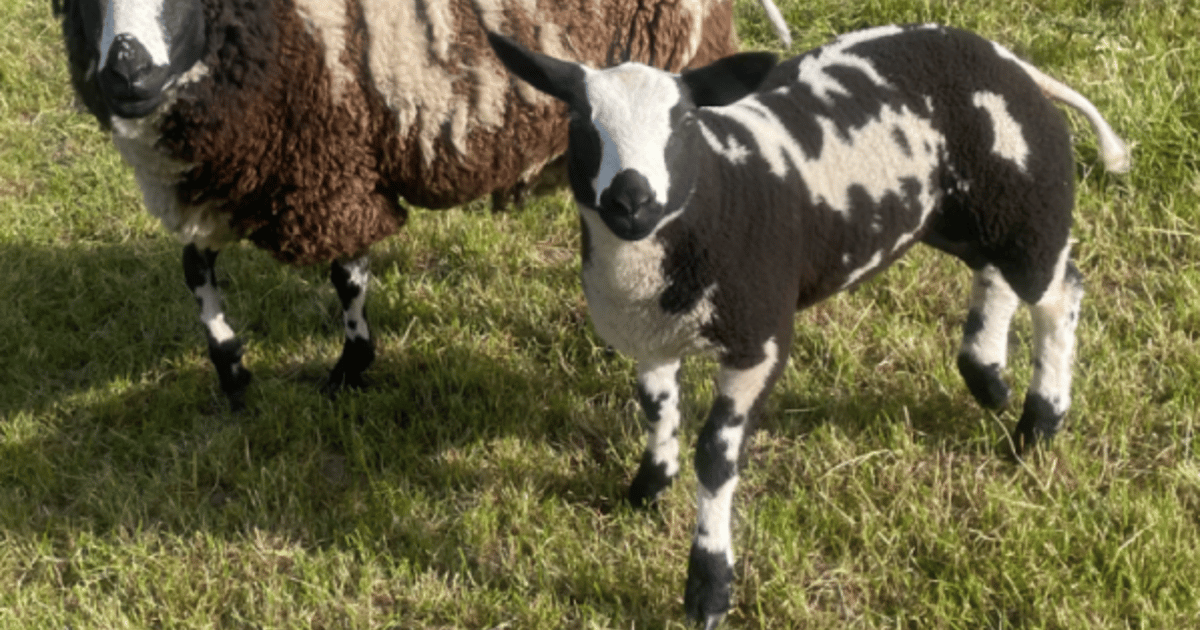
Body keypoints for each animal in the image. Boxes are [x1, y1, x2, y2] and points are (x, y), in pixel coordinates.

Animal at [54, 0, 790, 410]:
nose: (129, 74)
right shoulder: (223, 177)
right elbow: (195, 269)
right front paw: (232, 371)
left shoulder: (336, 162)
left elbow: (347, 276)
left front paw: (350, 371)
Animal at [487, 23, 1129, 628]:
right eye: (581, 123)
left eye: (682, 123)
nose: (631, 201)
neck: (713, 194)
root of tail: (1007, 59)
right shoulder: (650, 333)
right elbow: (657, 410)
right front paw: (648, 488)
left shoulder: (759, 340)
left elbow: (715, 457)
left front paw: (708, 587)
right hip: (959, 213)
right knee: (993, 274)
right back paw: (989, 376)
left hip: (1024, 201)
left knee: (1058, 293)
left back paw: (1039, 421)